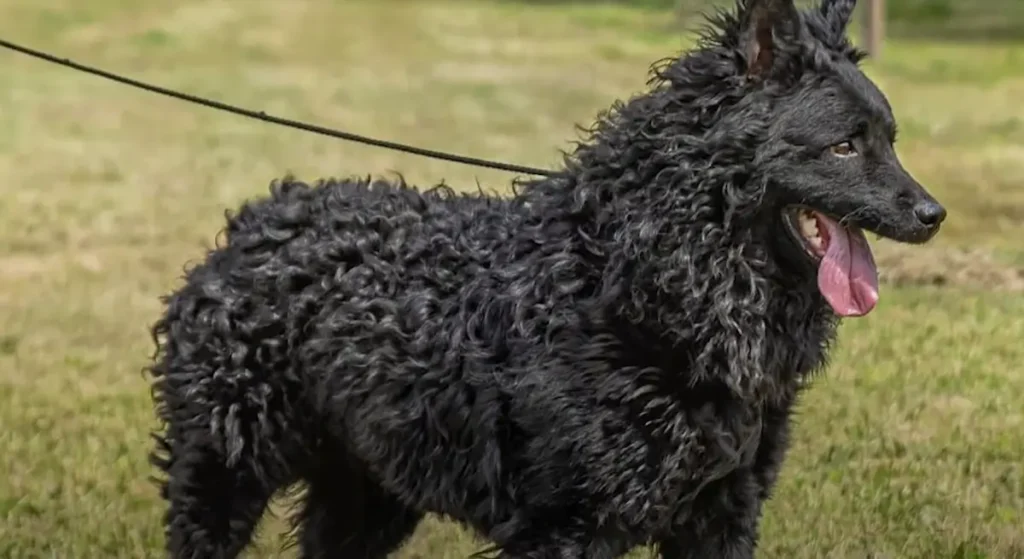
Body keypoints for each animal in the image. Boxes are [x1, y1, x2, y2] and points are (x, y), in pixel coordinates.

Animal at [144, 1, 942, 556]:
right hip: (224, 471)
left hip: (366, 491)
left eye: (890, 139)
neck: (641, 280)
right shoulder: (569, 525)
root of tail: (257, 219)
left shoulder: (724, 511)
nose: (934, 214)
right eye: (844, 147)